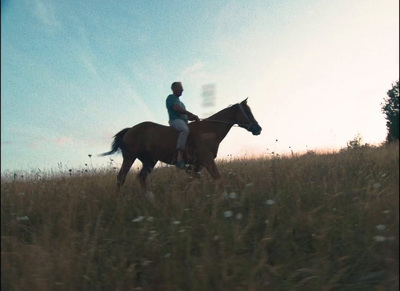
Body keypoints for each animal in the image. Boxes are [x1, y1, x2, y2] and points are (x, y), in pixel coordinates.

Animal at [99, 98, 260, 198]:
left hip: (149, 161)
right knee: (121, 178)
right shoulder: (207, 161)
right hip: (130, 157)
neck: (209, 130)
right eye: (248, 112)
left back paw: (151, 199)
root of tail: (130, 130)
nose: (258, 129)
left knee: (141, 178)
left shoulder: (198, 165)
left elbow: (195, 179)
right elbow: (218, 178)